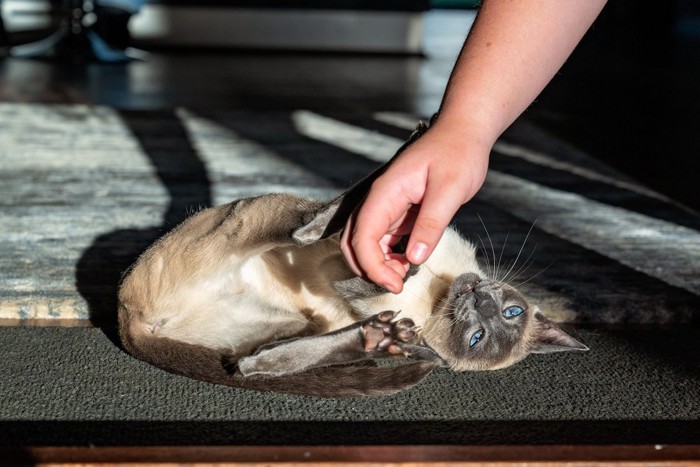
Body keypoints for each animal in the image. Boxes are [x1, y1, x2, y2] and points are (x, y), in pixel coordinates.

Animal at [117, 117, 588, 398]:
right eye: (512, 312)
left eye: (476, 339)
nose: (483, 302)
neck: (439, 290)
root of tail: (132, 321)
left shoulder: (355, 282)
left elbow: (368, 265)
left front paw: (404, 268)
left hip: (287, 279)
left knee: (251, 359)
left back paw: (377, 337)